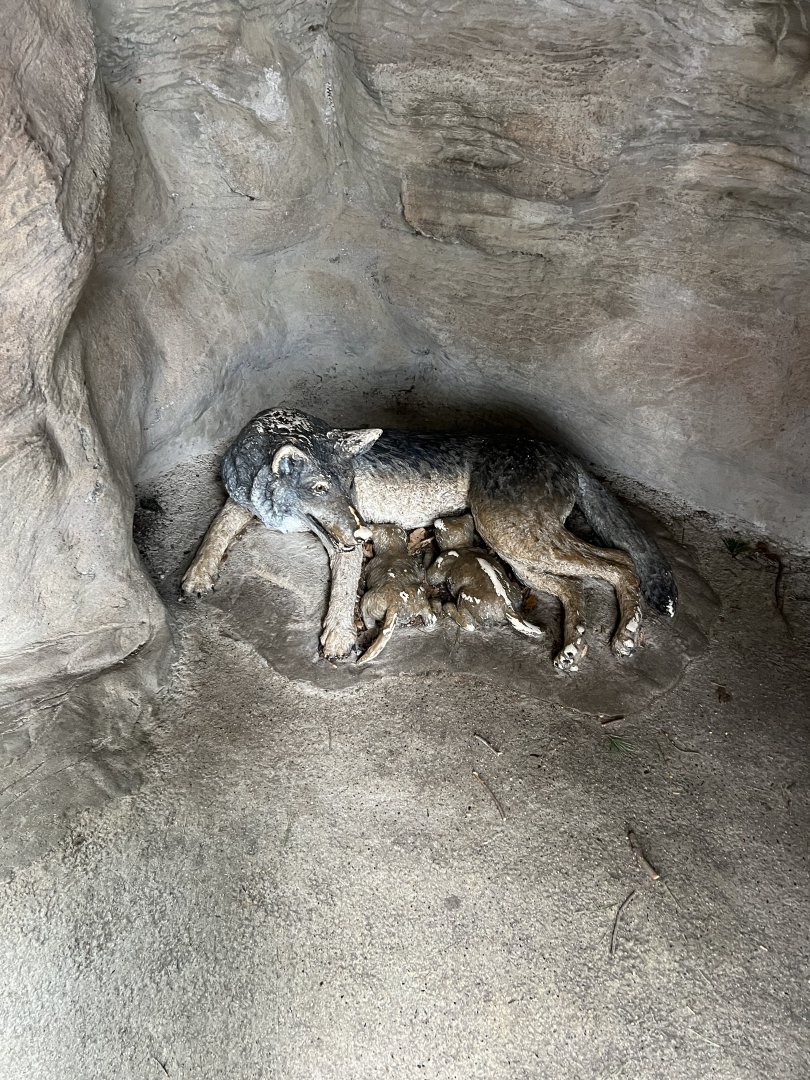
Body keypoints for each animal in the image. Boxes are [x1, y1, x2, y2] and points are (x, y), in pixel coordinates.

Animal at [181, 407, 677, 669]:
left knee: (620, 562)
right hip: (517, 555)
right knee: (577, 585)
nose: (361, 529)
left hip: (514, 540)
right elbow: (214, 532)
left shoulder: (345, 547)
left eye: (348, 485)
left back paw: (625, 635)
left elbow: (341, 591)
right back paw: (572, 645)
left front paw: (338, 636)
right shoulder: (242, 504)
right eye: (321, 489)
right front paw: (196, 575)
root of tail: (566, 452)